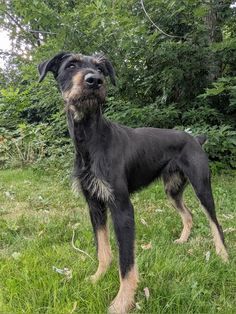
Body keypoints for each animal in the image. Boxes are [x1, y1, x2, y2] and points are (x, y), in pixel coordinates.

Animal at [37, 52, 228, 314]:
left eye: (100, 69)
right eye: (71, 65)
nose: (94, 80)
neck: (91, 138)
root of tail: (195, 139)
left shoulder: (122, 209)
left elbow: (126, 262)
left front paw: (122, 302)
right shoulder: (95, 205)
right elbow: (103, 250)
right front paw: (97, 278)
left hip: (202, 187)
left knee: (215, 223)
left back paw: (223, 256)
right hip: (172, 190)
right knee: (188, 214)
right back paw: (182, 240)